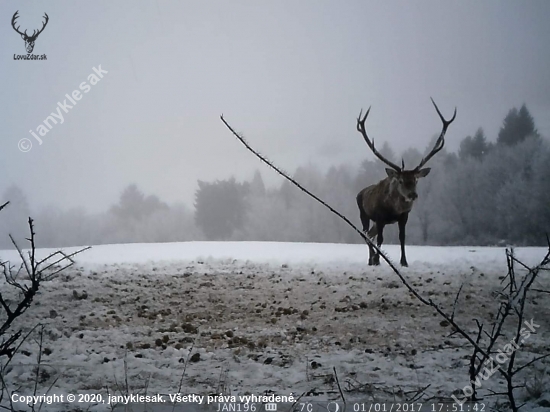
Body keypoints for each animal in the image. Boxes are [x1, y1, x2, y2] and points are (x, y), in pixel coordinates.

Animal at [358, 99, 458, 268]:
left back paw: (372, 259)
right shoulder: (379, 216)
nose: (413, 195)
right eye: (400, 180)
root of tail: (360, 192)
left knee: (370, 234)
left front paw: (404, 262)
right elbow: (381, 239)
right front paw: (378, 259)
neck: (393, 209)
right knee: (366, 234)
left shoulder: (404, 216)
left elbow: (402, 237)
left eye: (416, 180)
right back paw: (371, 260)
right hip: (363, 213)